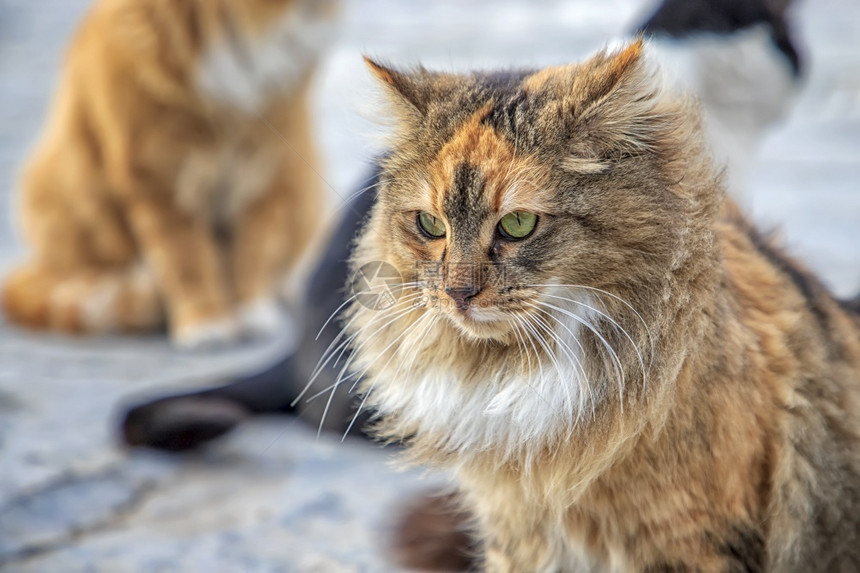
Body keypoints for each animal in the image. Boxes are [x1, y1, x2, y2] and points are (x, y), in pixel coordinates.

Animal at [1, 0, 334, 346]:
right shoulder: (157, 174)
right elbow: (186, 258)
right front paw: (207, 321)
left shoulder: (267, 165)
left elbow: (253, 250)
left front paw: (249, 311)